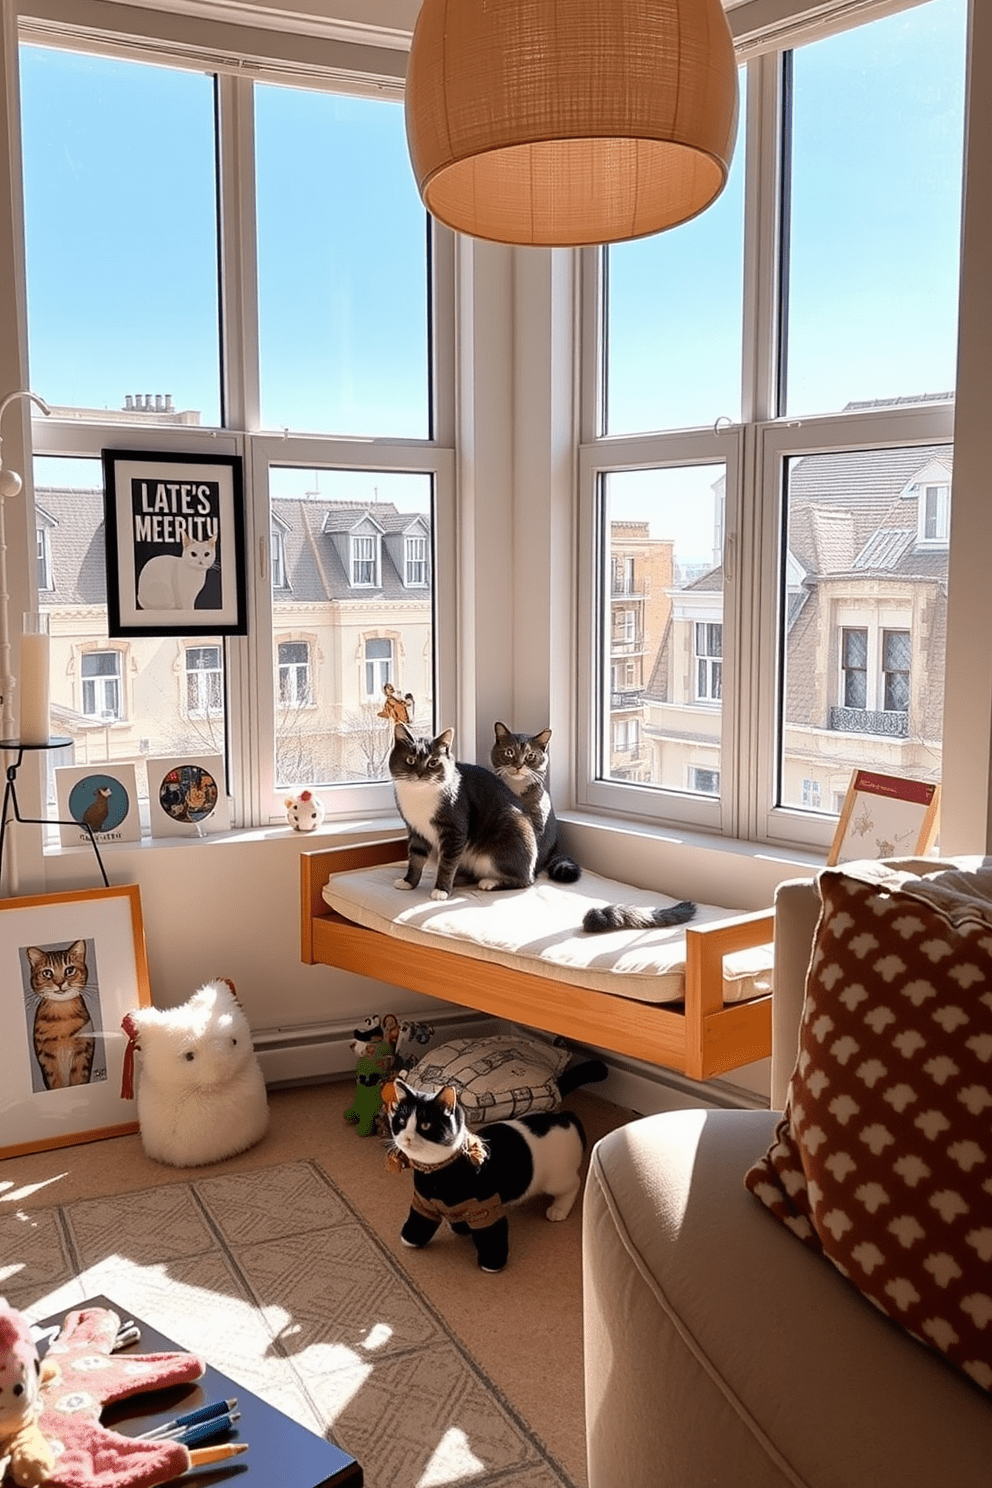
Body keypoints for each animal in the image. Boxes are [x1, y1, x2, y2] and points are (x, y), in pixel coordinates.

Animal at [389, 717, 544, 892]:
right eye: (410, 760)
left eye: (433, 762)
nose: (420, 774)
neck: (420, 794)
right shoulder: (416, 830)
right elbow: (416, 857)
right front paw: (408, 881)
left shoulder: (455, 830)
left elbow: (447, 863)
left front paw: (441, 890)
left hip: (513, 832)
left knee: (524, 881)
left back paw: (490, 882)